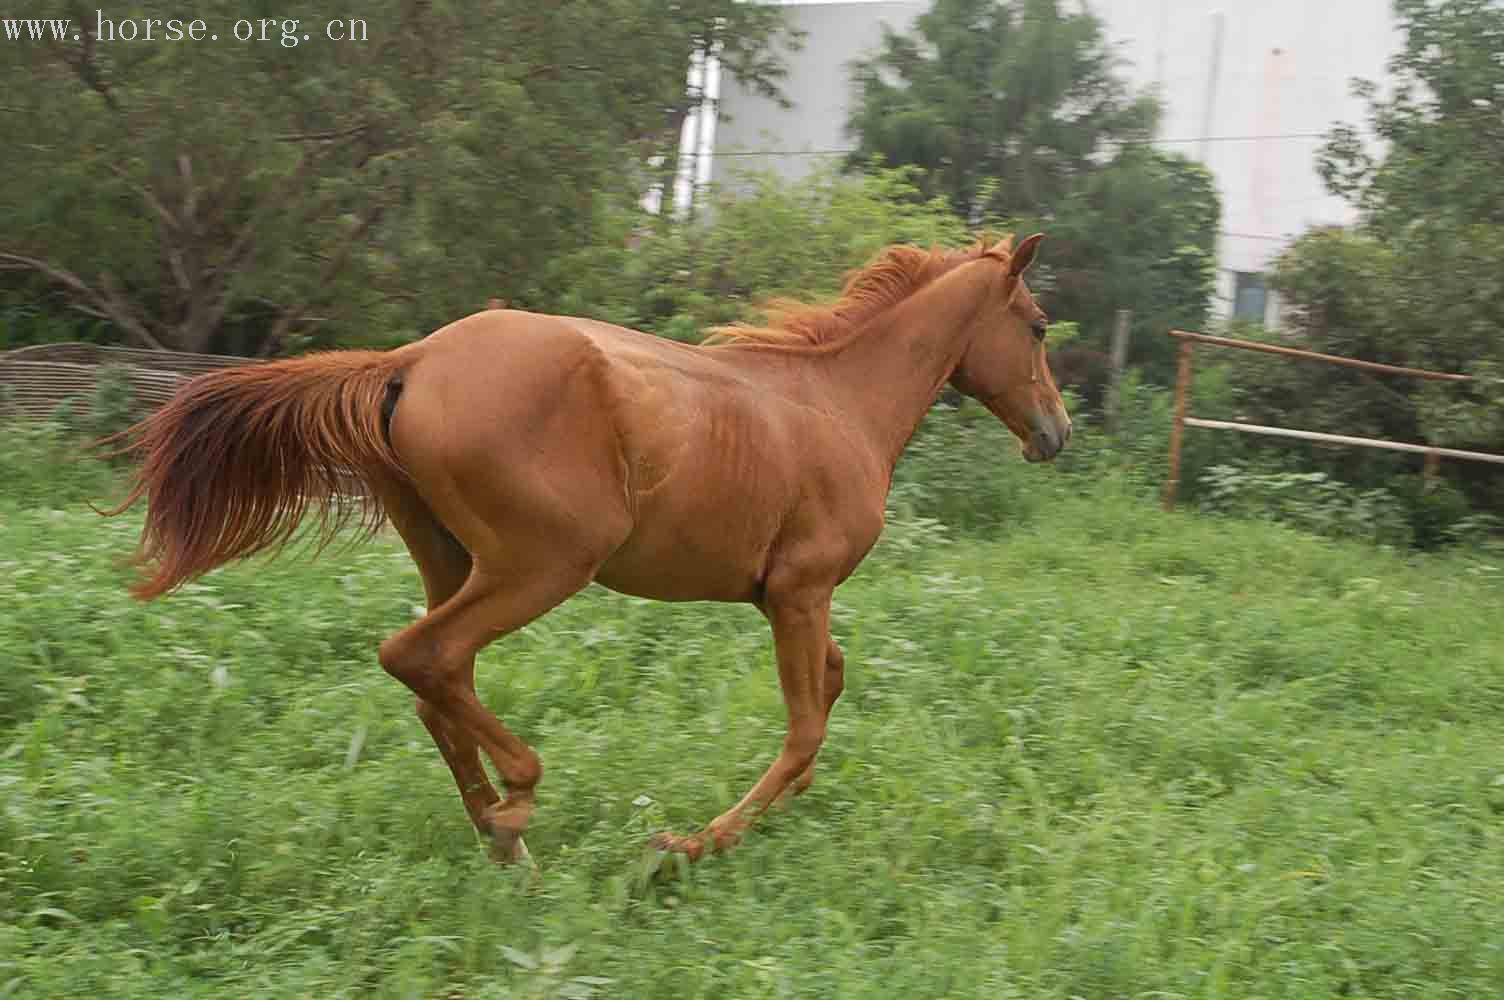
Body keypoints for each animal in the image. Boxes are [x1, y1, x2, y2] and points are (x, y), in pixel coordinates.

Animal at [103, 231, 1070, 860]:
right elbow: (804, 728)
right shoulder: (802, 588)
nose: (1055, 433)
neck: (838, 404)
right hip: (545, 563)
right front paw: (690, 844)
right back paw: (516, 805)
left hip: (453, 558)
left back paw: (501, 839)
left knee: (435, 682)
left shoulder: (795, 599)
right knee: (421, 654)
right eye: (1038, 323)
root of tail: (409, 361)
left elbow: (829, 690)